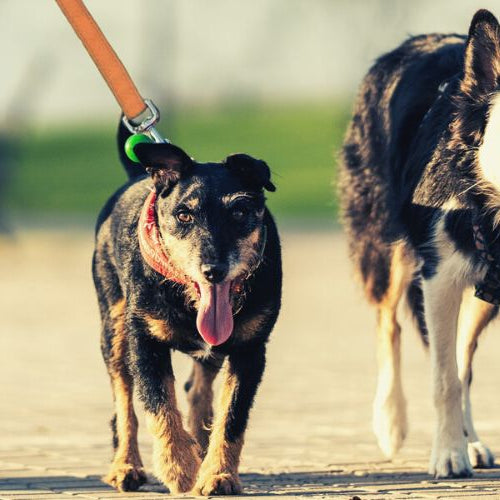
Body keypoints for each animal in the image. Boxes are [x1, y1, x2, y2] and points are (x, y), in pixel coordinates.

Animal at [94, 122, 282, 496]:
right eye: (184, 214)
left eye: (240, 212)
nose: (213, 270)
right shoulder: (144, 342)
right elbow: (158, 405)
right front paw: (179, 470)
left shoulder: (251, 350)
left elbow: (232, 416)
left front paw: (218, 474)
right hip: (114, 330)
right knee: (124, 399)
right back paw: (126, 465)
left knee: (197, 388)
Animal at [342, 9, 500, 478]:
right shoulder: (439, 277)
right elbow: (445, 379)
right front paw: (447, 454)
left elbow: (458, 371)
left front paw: (458, 444)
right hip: (387, 250)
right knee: (389, 325)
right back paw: (391, 420)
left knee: (463, 360)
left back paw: (471, 440)